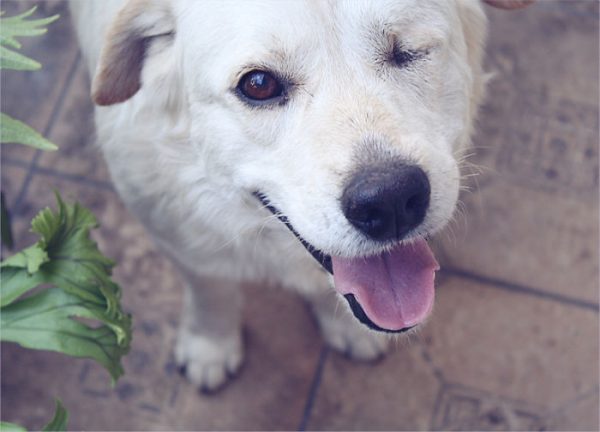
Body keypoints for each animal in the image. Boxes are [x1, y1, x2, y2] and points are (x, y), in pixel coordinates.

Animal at [70, 0, 536, 392]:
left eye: (407, 51)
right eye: (258, 84)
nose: (389, 201)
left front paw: (345, 329)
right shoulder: (174, 233)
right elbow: (211, 289)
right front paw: (210, 347)